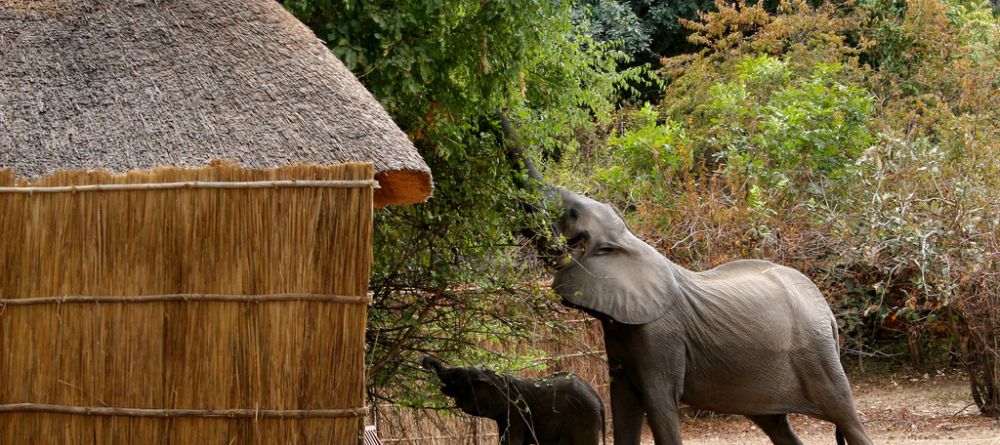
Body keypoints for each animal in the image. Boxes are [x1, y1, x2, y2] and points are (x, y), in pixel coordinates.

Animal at [420, 354, 600, 444]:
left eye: (455, 375)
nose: (425, 363)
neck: (497, 377)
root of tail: (598, 398)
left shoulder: (515, 413)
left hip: (585, 417)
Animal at [552, 188, 872, 444]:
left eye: (574, 213)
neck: (630, 241)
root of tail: (827, 312)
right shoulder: (621, 335)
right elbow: (624, 403)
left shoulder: (661, 336)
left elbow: (659, 401)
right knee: (777, 425)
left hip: (816, 357)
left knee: (846, 417)